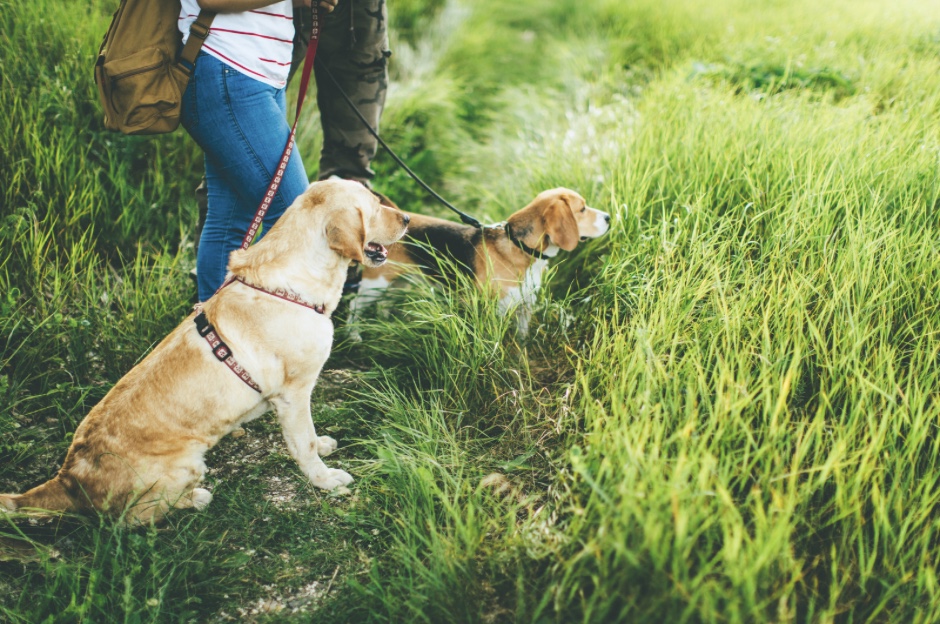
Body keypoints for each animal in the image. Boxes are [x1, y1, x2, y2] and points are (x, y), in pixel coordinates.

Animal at [1, 179, 410, 520]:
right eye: (373, 206)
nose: (407, 217)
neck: (289, 286)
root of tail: (69, 478)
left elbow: (310, 438)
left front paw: (324, 446)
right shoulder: (293, 395)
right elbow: (303, 443)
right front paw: (325, 480)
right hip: (185, 465)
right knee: (133, 518)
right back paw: (195, 498)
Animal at [346, 188, 608, 336]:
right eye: (582, 209)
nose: (608, 217)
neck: (520, 247)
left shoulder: (525, 307)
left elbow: (522, 340)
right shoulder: (496, 311)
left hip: (398, 281)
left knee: (384, 303)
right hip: (375, 284)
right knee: (354, 306)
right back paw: (354, 335)